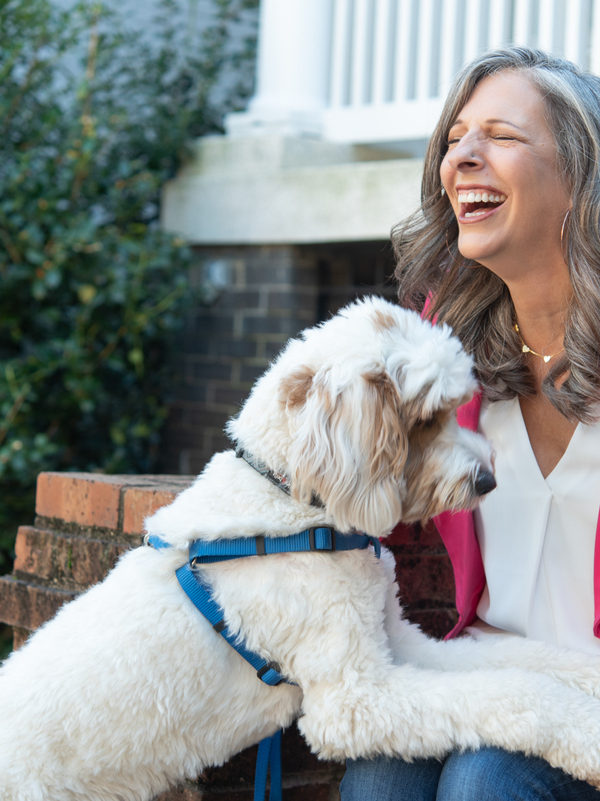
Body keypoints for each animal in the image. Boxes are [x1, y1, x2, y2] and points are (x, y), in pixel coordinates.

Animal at [3, 296, 600, 796]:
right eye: (427, 419)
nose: (487, 481)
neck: (291, 504)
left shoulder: (398, 644)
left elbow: (517, 658)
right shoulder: (356, 699)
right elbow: (512, 692)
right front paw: (586, 736)